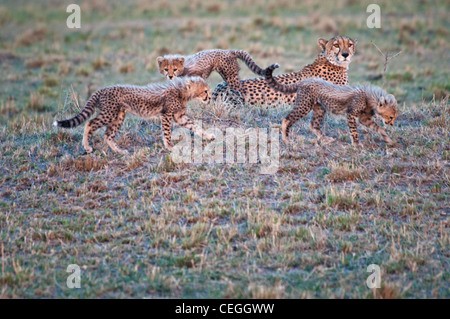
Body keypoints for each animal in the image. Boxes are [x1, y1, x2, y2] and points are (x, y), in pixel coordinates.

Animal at [52, 76, 214, 154]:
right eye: (205, 91)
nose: (210, 98)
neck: (182, 92)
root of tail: (103, 89)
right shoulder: (167, 115)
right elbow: (167, 132)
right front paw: (169, 147)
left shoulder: (180, 116)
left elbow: (194, 126)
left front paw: (208, 135)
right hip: (109, 114)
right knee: (90, 123)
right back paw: (87, 147)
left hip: (118, 116)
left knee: (108, 135)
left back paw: (119, 151)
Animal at [266, 63, 400, 148]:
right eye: (391, 117)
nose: (392, 124)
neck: (371, 98)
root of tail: (306, 80)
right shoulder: (350, 114)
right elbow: (354, 131)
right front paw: (356, 144)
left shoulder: (364, 118)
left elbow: (379, 128)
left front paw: (389, 140)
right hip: (304, 105)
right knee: (287, 119)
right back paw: (286, 139)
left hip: (319, 108)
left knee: (314, 125)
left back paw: (325, 139)